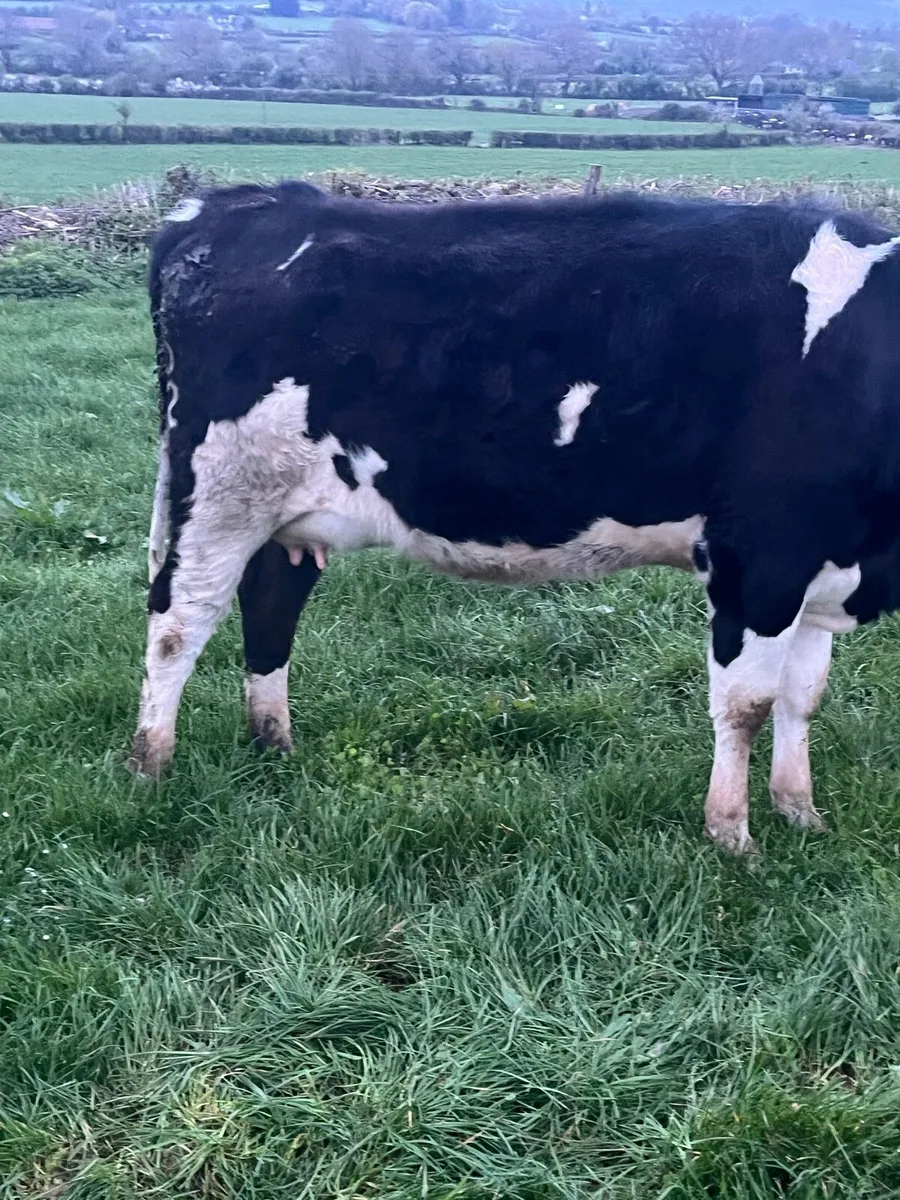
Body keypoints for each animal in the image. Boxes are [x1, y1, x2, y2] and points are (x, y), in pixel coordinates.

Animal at [131, 180, 900, 855]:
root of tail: (231, 206)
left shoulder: (820, 564)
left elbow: (803, 697)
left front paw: (799, 813)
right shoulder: (760, 560)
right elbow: (747, 705)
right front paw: (733, 835)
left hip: (284, 509)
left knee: (270, 602)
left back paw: (273, 745)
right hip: (220, 490)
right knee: (178, 621)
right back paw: (151, 765)